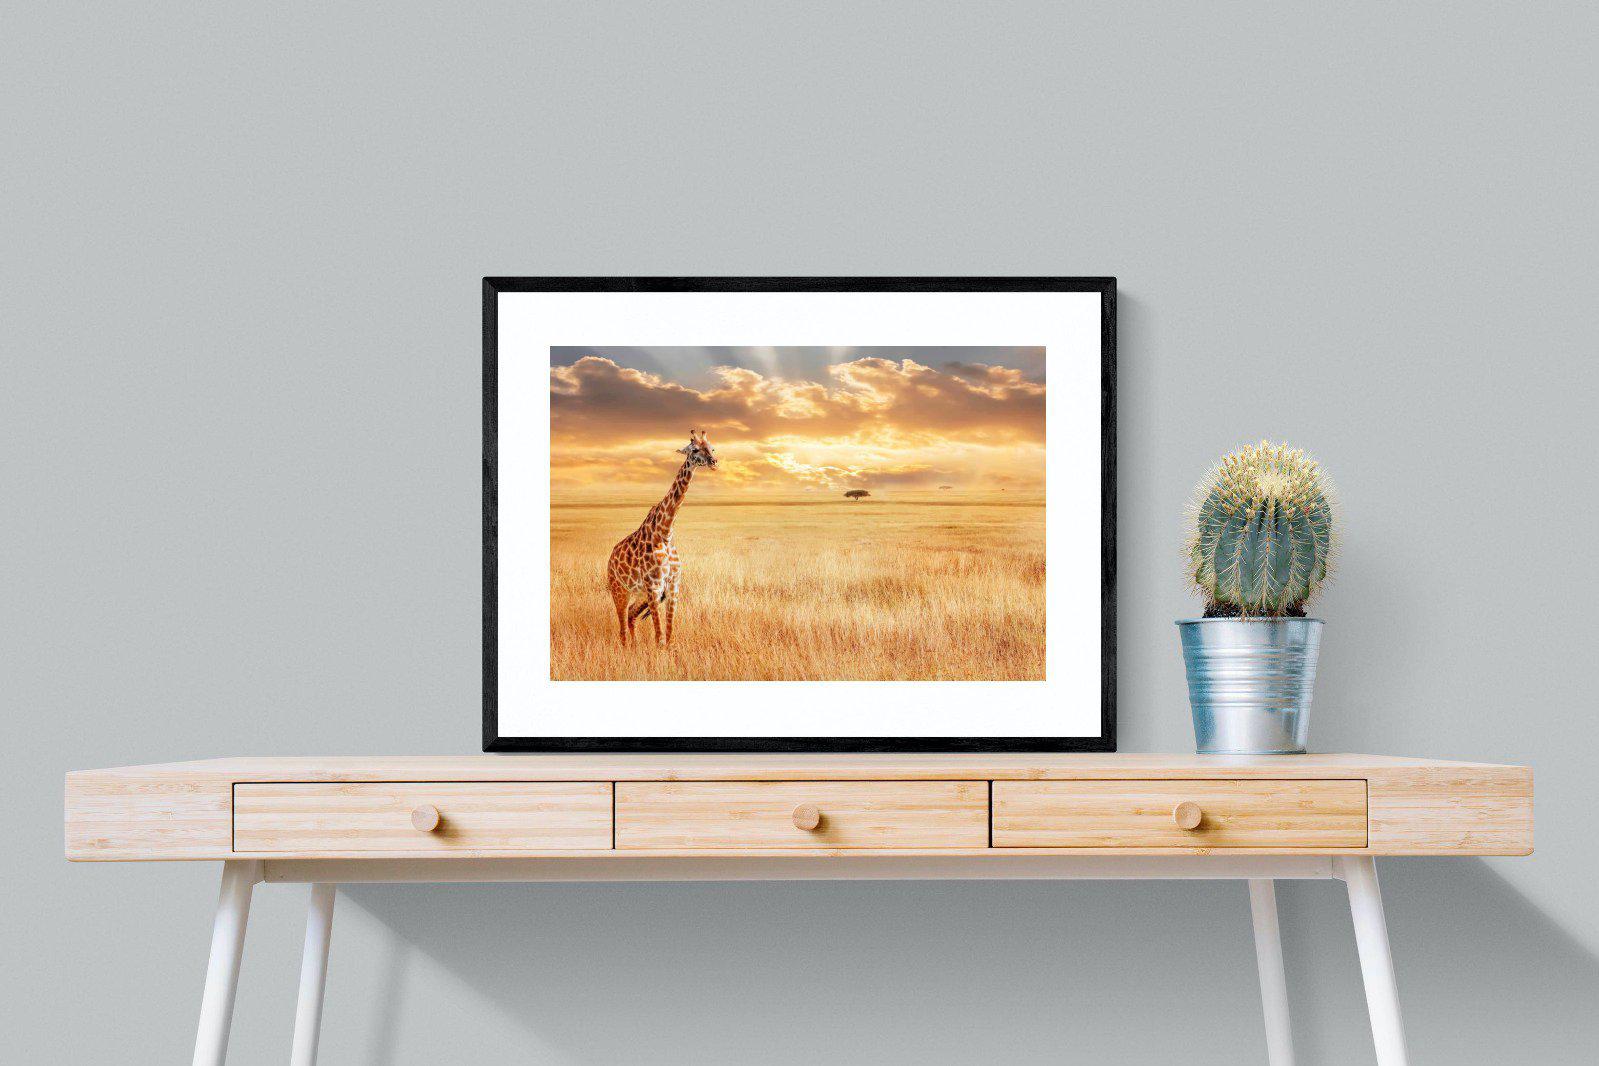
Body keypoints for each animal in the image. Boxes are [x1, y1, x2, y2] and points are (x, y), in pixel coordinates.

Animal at [606, 429, 717, 646]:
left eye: (712, 448)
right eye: (694, 449)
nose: (714, 461)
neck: (665, 532)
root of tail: (610, 559)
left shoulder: (673, 587)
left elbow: (669, 634)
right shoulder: (654, 587)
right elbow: (659, 638)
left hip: (640, 594)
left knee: (630, 615)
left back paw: (635, 646)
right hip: (619, 590)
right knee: (622, 626)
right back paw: (627, 647)